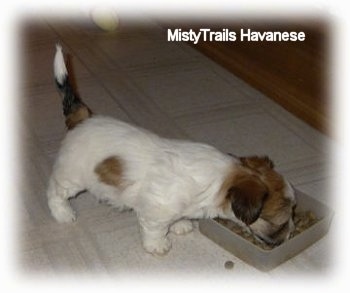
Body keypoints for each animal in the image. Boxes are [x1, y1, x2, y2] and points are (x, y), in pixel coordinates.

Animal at [47, 44, 296, 254]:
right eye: (280, 223)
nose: (289, 235)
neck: (221, 179)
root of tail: (83, 118)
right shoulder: (156, 212)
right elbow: (155, 230)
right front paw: (158, 245)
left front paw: (181, 224)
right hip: (72, 176)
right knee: (55, 191)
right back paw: (63, 213)